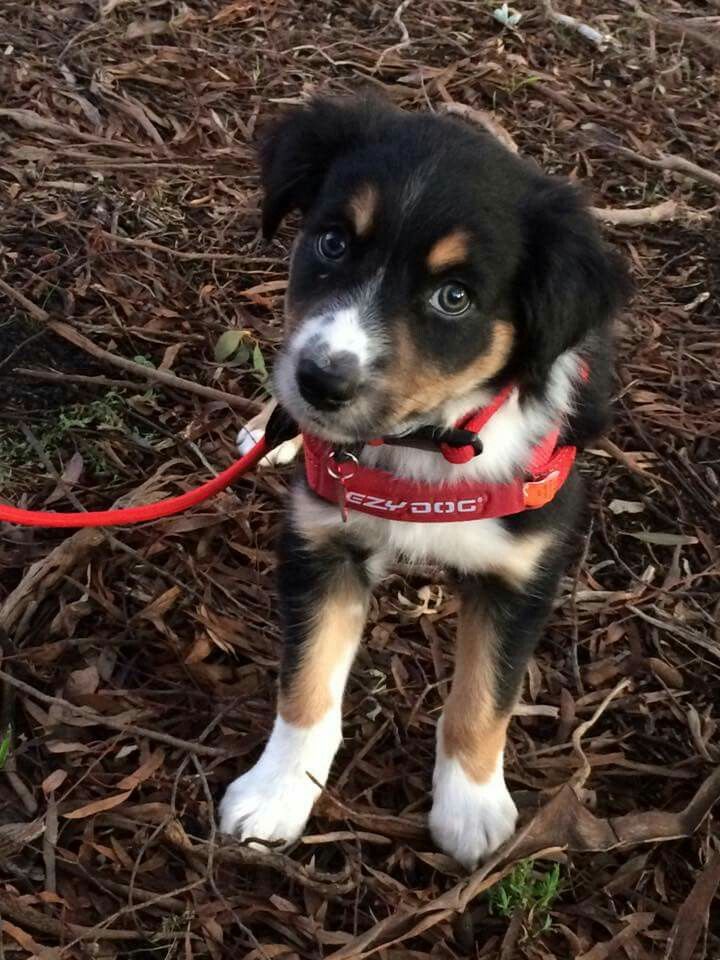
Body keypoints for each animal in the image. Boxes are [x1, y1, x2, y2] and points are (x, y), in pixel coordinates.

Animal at [219, 97, 632, 872]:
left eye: (453, 297)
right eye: (332, 244)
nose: (320, 384)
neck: (425, 442)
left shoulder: (523, 568)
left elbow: (483, 699)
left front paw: (471, 810)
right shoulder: (323, 544)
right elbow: (306, 686)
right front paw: (275, 794)